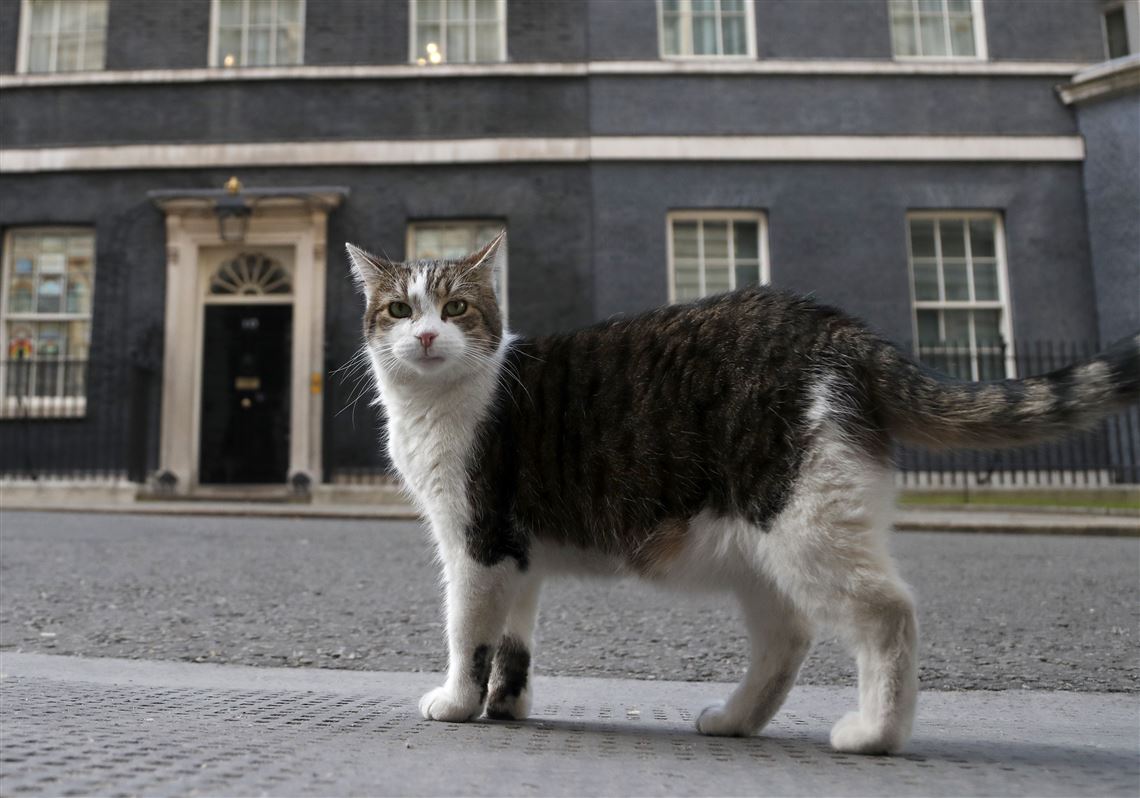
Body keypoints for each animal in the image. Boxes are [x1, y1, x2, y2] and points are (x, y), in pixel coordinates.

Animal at [346, 232, 1140, 752]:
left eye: (455, 308)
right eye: (398, 310)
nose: (424, 338)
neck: (440, 402)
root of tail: (839, 329)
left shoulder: (476, 541)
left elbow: (468, 633)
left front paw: (457, 703)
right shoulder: (519, 553)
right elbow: (514, 639)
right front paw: (506, 706)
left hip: (805, 524)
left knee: (889, 615)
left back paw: (875, 734)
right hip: (764, 551)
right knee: (787, 639)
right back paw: (735, 721)